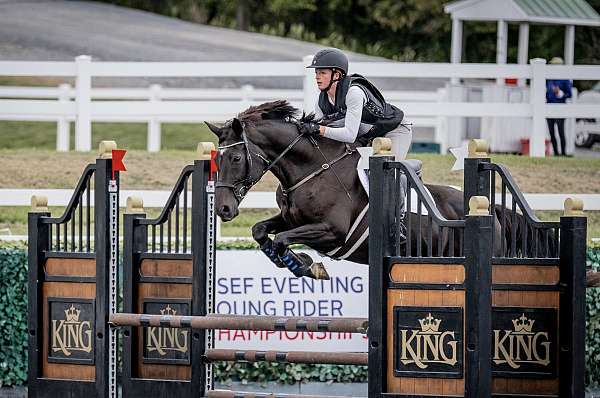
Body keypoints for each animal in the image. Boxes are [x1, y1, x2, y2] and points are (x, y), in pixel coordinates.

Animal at [206, 101, 502, 278]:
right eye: (216, 159)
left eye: (235, 158)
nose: (223, 208)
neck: (311, 170)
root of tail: (494, 212)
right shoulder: (291, 219)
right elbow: (260, 231)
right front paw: (294, 262)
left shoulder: (332, 231)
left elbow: (281, 239)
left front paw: (305, 265)